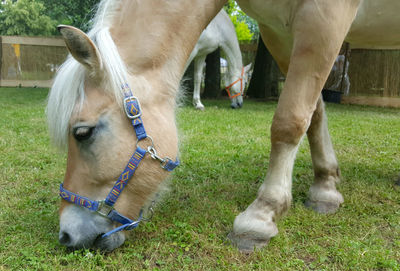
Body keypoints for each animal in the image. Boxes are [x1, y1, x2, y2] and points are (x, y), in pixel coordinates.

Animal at [47, 0, 400, 254]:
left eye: (83, 133)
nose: (66, 235)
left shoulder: (324, 18)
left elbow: (290, 119)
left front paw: (262, 215)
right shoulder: (279, 32)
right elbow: (314, 114)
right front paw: (325, 185)